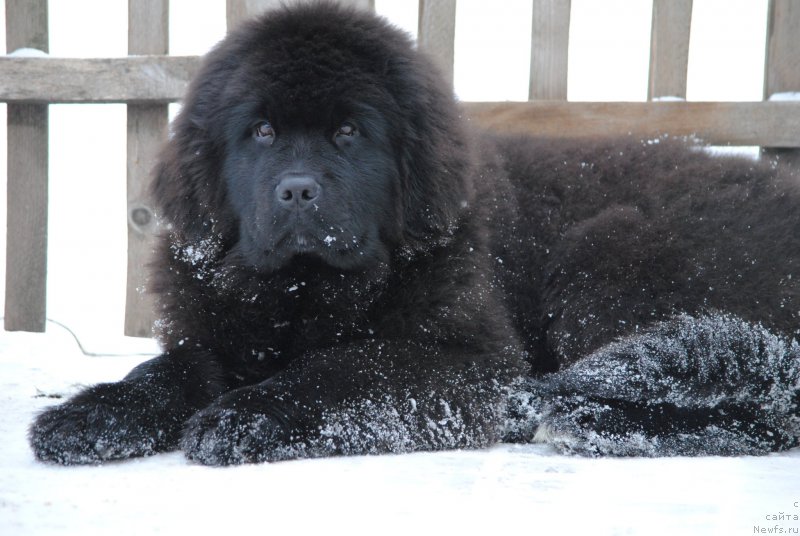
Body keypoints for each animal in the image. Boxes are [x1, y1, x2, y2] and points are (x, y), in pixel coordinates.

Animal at [29, 2, 800, 462]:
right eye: (262, 131)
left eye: (348, 132)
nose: (298, 190)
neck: (303, 292)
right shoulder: (216, 331)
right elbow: (170, 368)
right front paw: (94, 412)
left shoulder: (473, 360)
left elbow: (345, 366)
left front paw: (244, 416)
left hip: (607, 258)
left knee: (762, 405)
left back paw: (583, 419)